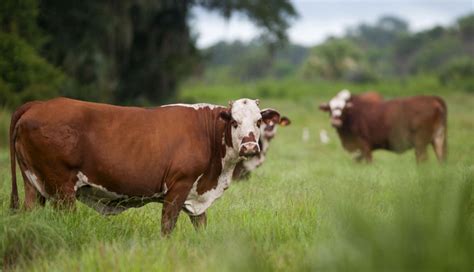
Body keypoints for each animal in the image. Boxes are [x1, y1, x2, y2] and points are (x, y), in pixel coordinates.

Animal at [9, 98, 282, 236]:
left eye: (259, 121)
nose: (250, 147)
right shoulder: (179, 186)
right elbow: (167, 226)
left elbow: (200, 224)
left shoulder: (197, 194)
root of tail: (37, 104)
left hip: (34, 185)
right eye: (234, 122)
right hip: (61, 189)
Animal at [318, 89, 448, 163]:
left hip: (420, 143)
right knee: (441, 159)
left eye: (344, 108)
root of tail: (433, 99)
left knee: (423, 160)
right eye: (330, 108)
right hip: (438, 138)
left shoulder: (365, 145)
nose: (335, 121)